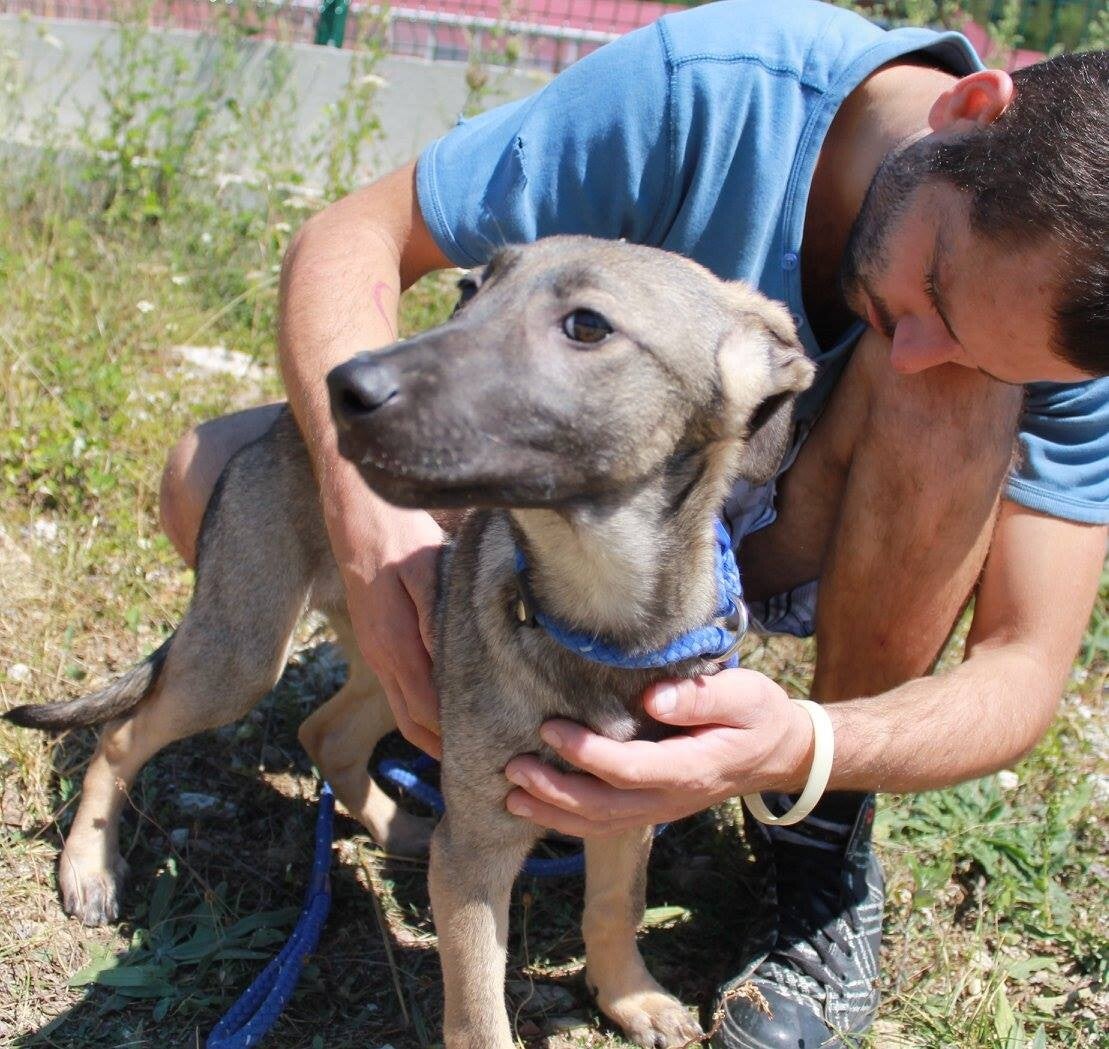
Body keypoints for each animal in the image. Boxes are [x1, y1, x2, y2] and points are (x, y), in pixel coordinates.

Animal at [7, 235, 813, 1049]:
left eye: (587, 325)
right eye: (468, 289)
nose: (344, 387)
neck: (598, 618)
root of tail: (277, 423)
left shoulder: (628, 804)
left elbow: (616, 908)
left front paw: (630, 997)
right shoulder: (476, 859)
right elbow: (480, 1018)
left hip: (402, 662)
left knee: (325, 732)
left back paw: (401, 824)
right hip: (243, 652)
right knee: (122, 733)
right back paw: (90, 865)